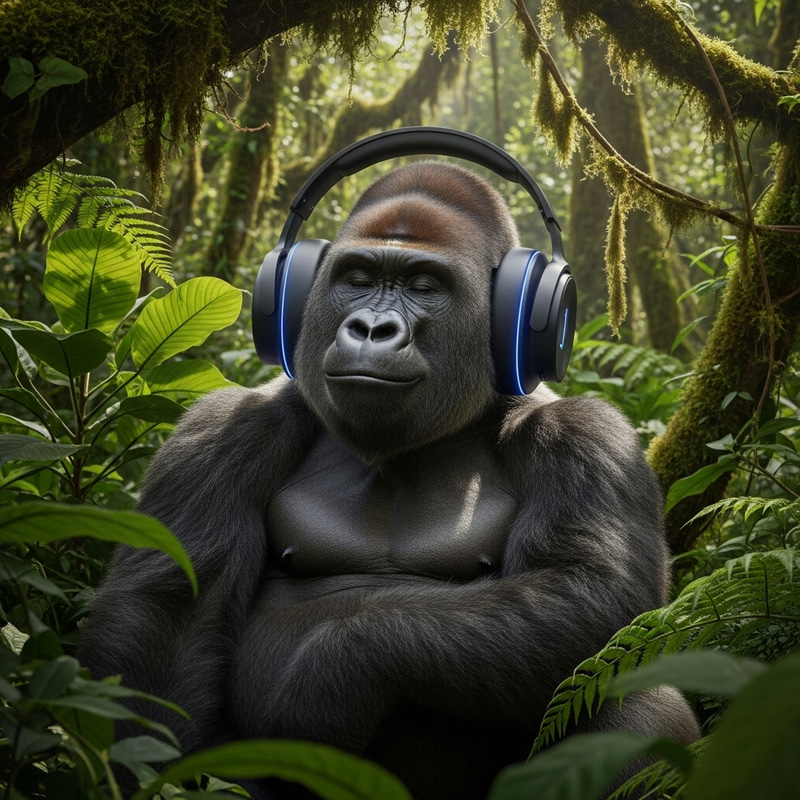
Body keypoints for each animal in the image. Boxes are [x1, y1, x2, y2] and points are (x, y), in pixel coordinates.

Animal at [80, 160, 699, 800]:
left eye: (423, 286)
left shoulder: (586, 436)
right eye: (357, 278)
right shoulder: (224, 429)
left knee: (631, 695)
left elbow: (592, 592)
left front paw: (332, 680)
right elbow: (167, 624)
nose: (371, 328)